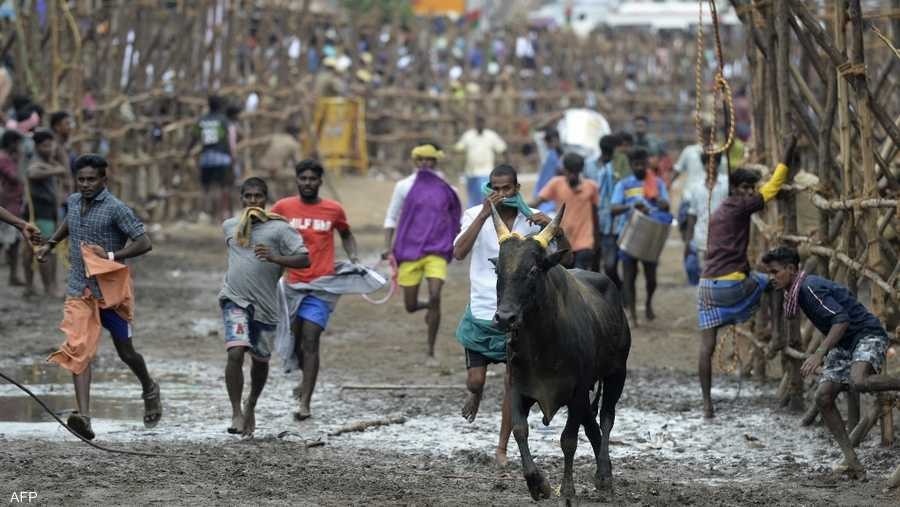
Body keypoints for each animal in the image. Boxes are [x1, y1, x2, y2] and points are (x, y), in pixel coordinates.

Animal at [488, 205, 628, 504]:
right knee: (593, 425)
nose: (505, 317)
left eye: (532, 269)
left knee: (606, 418)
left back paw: (604, 475)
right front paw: (537, 484)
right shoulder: (517, 387)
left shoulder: (577, 391)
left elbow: (568, 440)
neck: (542, 344)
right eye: (498, 271)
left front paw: (567, 490)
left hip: (616, 374)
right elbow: (519, 430)